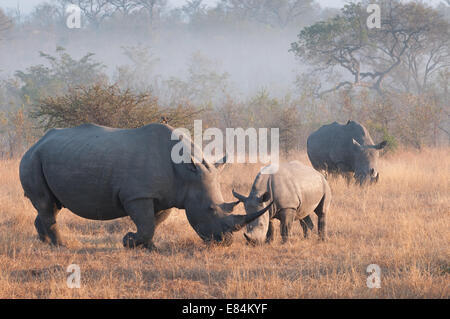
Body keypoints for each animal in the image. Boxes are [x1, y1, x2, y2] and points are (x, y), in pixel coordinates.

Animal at [19, 123, 270, 250]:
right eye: (210, 210)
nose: (225, 242)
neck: (186, 173)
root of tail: (35, 143)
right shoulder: (137, 195)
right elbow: (147, 223)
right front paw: (128, 241)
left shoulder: (168, 195)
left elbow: (154, 222)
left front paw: (148, 247)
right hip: (32, 159)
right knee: (46, 204)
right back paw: (61, 246)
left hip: (46, 157)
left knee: (50, 205)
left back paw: (45, 243)